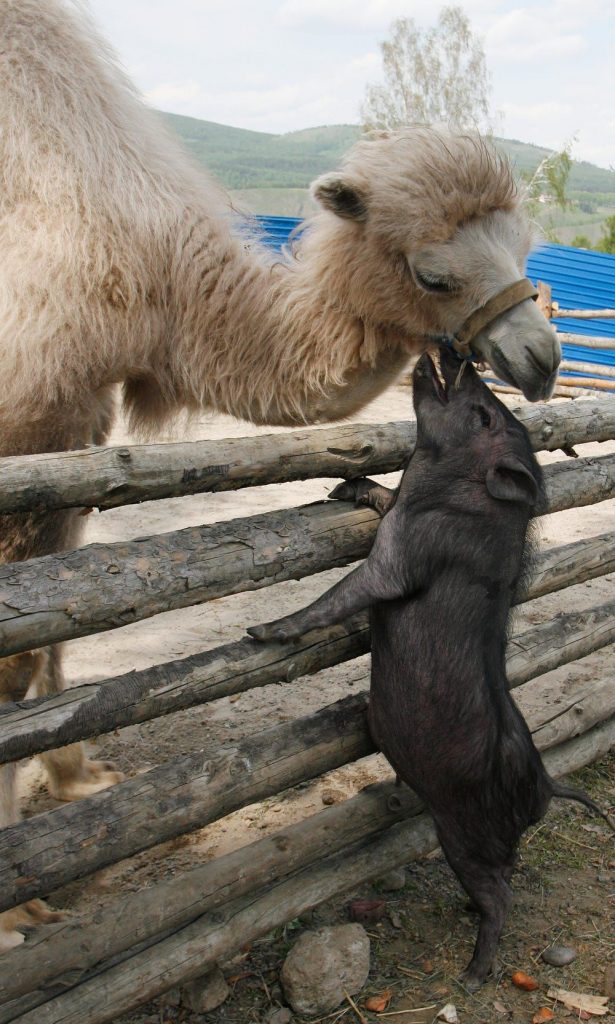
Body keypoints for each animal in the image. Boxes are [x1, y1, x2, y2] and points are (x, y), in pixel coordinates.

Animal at [0, 0, 560, 950]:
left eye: (524, 243)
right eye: (432, 272)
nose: (543, 359)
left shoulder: (76, 432)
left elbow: (48, 640)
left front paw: (77, 781)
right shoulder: (23, 422)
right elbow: (12, 669)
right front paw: (12, 913)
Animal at [246, 346, 609, 991]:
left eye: (486, 417)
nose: (460, 355)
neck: (444, 491)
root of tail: (548, 784)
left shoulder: (399, 559)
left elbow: (340, 594)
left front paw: (261, 632)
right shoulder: (395, 513)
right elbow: (377, 495)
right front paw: (342, 486)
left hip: (464, 832)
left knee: (501, 898)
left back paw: (472, 975)